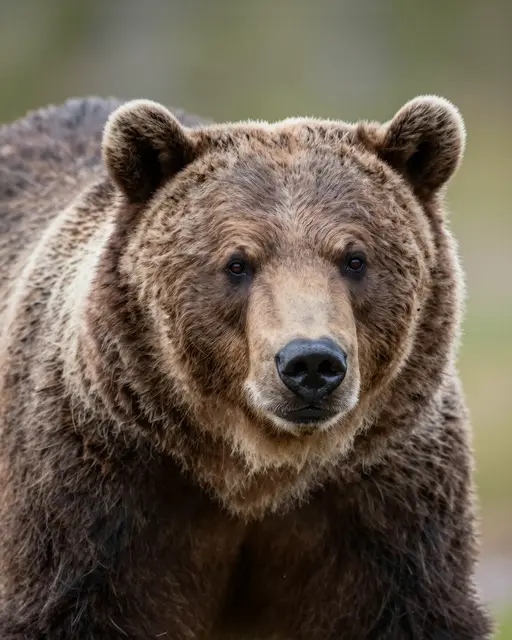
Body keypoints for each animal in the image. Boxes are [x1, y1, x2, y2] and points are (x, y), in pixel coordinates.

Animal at [0, 94, 493, 639]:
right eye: (237, 263)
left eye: (355, 258)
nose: (311, 362)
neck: (255, 473)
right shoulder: (97, 489)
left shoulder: (388, 506)